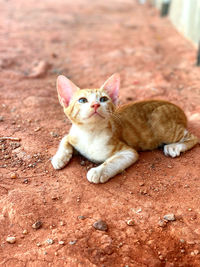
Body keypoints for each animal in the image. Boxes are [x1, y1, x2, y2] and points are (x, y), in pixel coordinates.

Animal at [51, 73, 198, 184]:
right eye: (82, 100)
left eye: (103, 99)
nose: (95, 104)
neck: (90, 134)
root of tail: (178, 108)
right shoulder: (72, 135)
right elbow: (64, 140)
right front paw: (59, 158)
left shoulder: (128, 152)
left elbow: (112, 161)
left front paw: (98, 172)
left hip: (159, 121)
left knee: (194, 138)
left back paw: (175, 146)